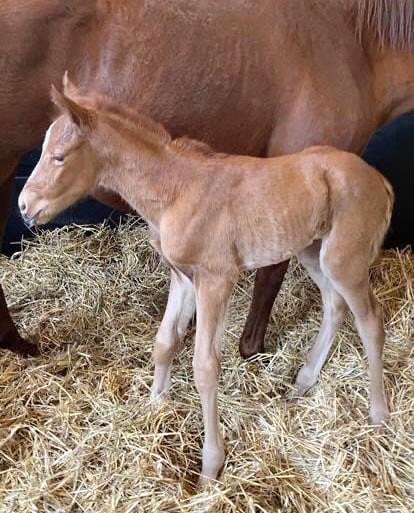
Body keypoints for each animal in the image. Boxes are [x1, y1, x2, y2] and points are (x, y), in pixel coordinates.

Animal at [20, 81, 394, 484]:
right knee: (333, 305)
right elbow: (164, 342)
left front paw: (210, 467)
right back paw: (303, 383)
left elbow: (205, 365)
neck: (177, 191)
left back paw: (378, 415)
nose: (24, 207)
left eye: (59, 156)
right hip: (313, 252)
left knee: (371, 321)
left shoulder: (216, 279)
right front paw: (155, 405)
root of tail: (379, 179)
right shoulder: (182, 276)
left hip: (344, 260)